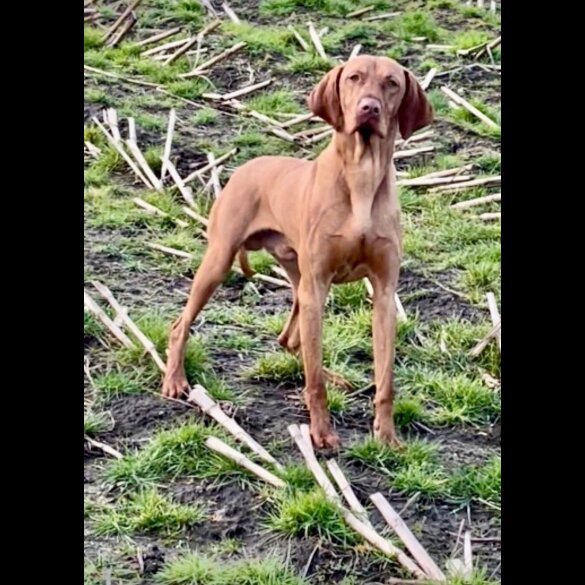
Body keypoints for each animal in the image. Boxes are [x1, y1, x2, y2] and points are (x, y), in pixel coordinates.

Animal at [162, 56, 432, 448]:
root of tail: (247, 166)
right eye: (354, 78)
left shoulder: (384, 295)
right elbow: (314, 381)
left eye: (391, 83)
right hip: (221, 262)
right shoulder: (317, 285)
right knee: (180, 325)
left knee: (289, 339)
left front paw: (387, 436)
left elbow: (385, 379)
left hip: (297, 277)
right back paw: (174, 380)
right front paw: (321, 433)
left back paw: (335, 376)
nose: (369, 108)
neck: (362, 175)